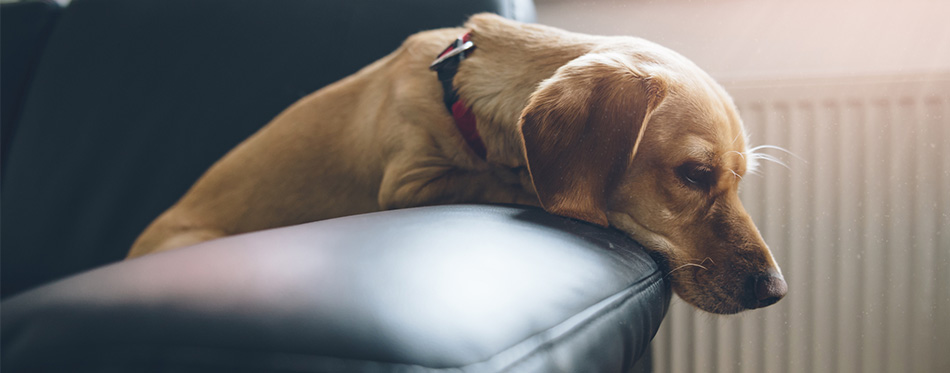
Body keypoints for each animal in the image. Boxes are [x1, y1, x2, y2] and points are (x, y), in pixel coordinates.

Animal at [132, 13, 788, 312]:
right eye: (693, 175)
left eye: (739, 181)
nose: (777, 290)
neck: (460, 89)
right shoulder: (410, 182)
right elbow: (502, 179)